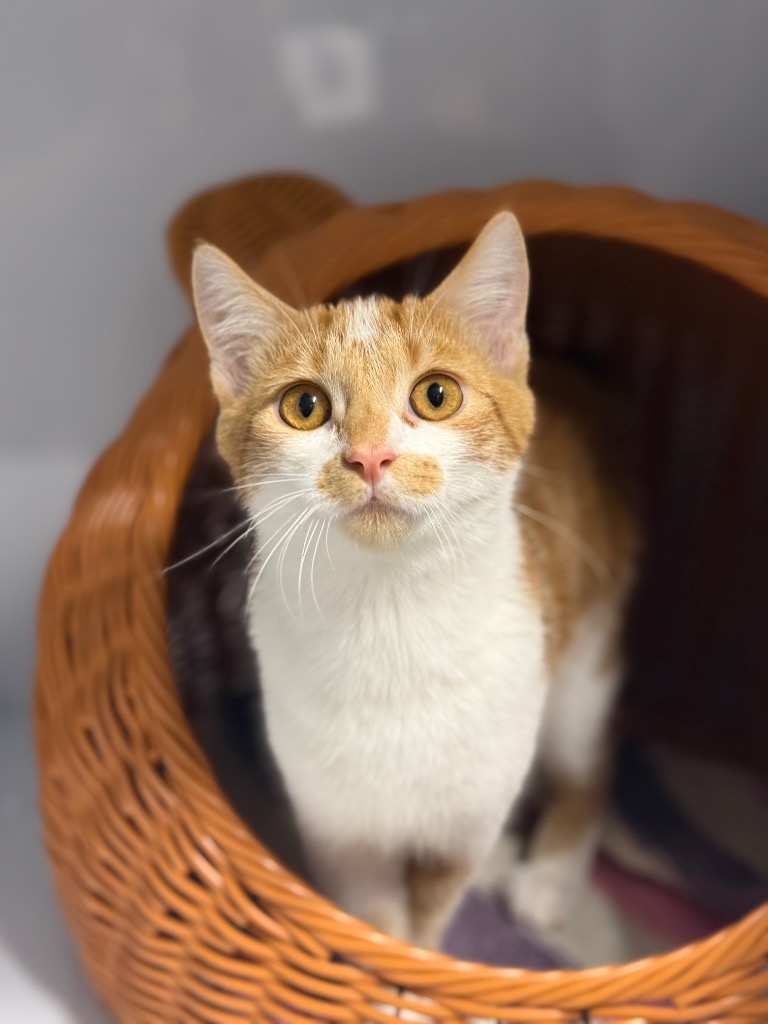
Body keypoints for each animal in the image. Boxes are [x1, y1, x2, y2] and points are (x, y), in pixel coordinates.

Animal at [190, 211, 634, 949]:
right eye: (304, 405)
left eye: (436, 395)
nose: (371, 456)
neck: (390, 614)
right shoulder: (337, 826)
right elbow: (373, 917)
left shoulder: (466, 821)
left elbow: (428, 917)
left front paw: (421, 963)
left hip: (581, 666)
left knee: (593, 767)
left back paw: (547, 879)